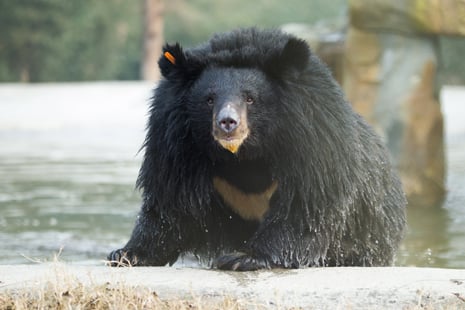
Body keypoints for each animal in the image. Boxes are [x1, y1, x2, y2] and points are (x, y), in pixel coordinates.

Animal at [107, 29, 404, 272]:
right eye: (209, 99)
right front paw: (126, 254)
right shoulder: (175, 143)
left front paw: (242, 257)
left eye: (250, 98)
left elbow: (304, 204)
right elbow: (172, 202)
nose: (227, 123)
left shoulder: (312, 138)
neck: (244, 155)